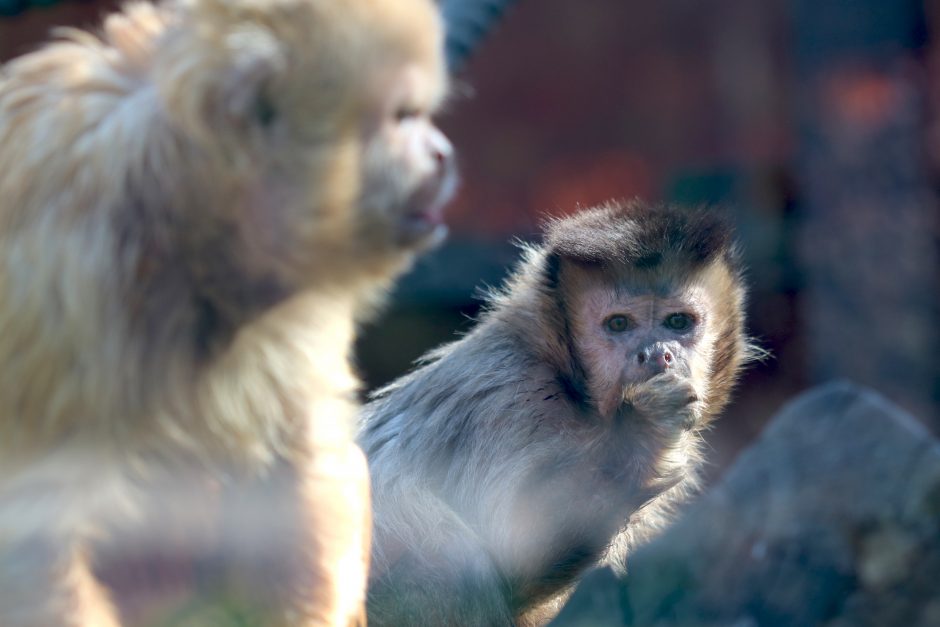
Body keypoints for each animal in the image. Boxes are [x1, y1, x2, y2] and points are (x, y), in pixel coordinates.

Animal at [0, 0, 458, 624]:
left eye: (420, 117)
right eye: (402, 118)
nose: (441, 153)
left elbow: (306, 459)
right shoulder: (69, 280)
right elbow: (33, 540)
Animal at [358, 202, 756, 627]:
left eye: (677, 322)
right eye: (619, 324)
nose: (654, 354)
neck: (566, 379)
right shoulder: (513, 402)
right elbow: (516, 560)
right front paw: (639, 437)